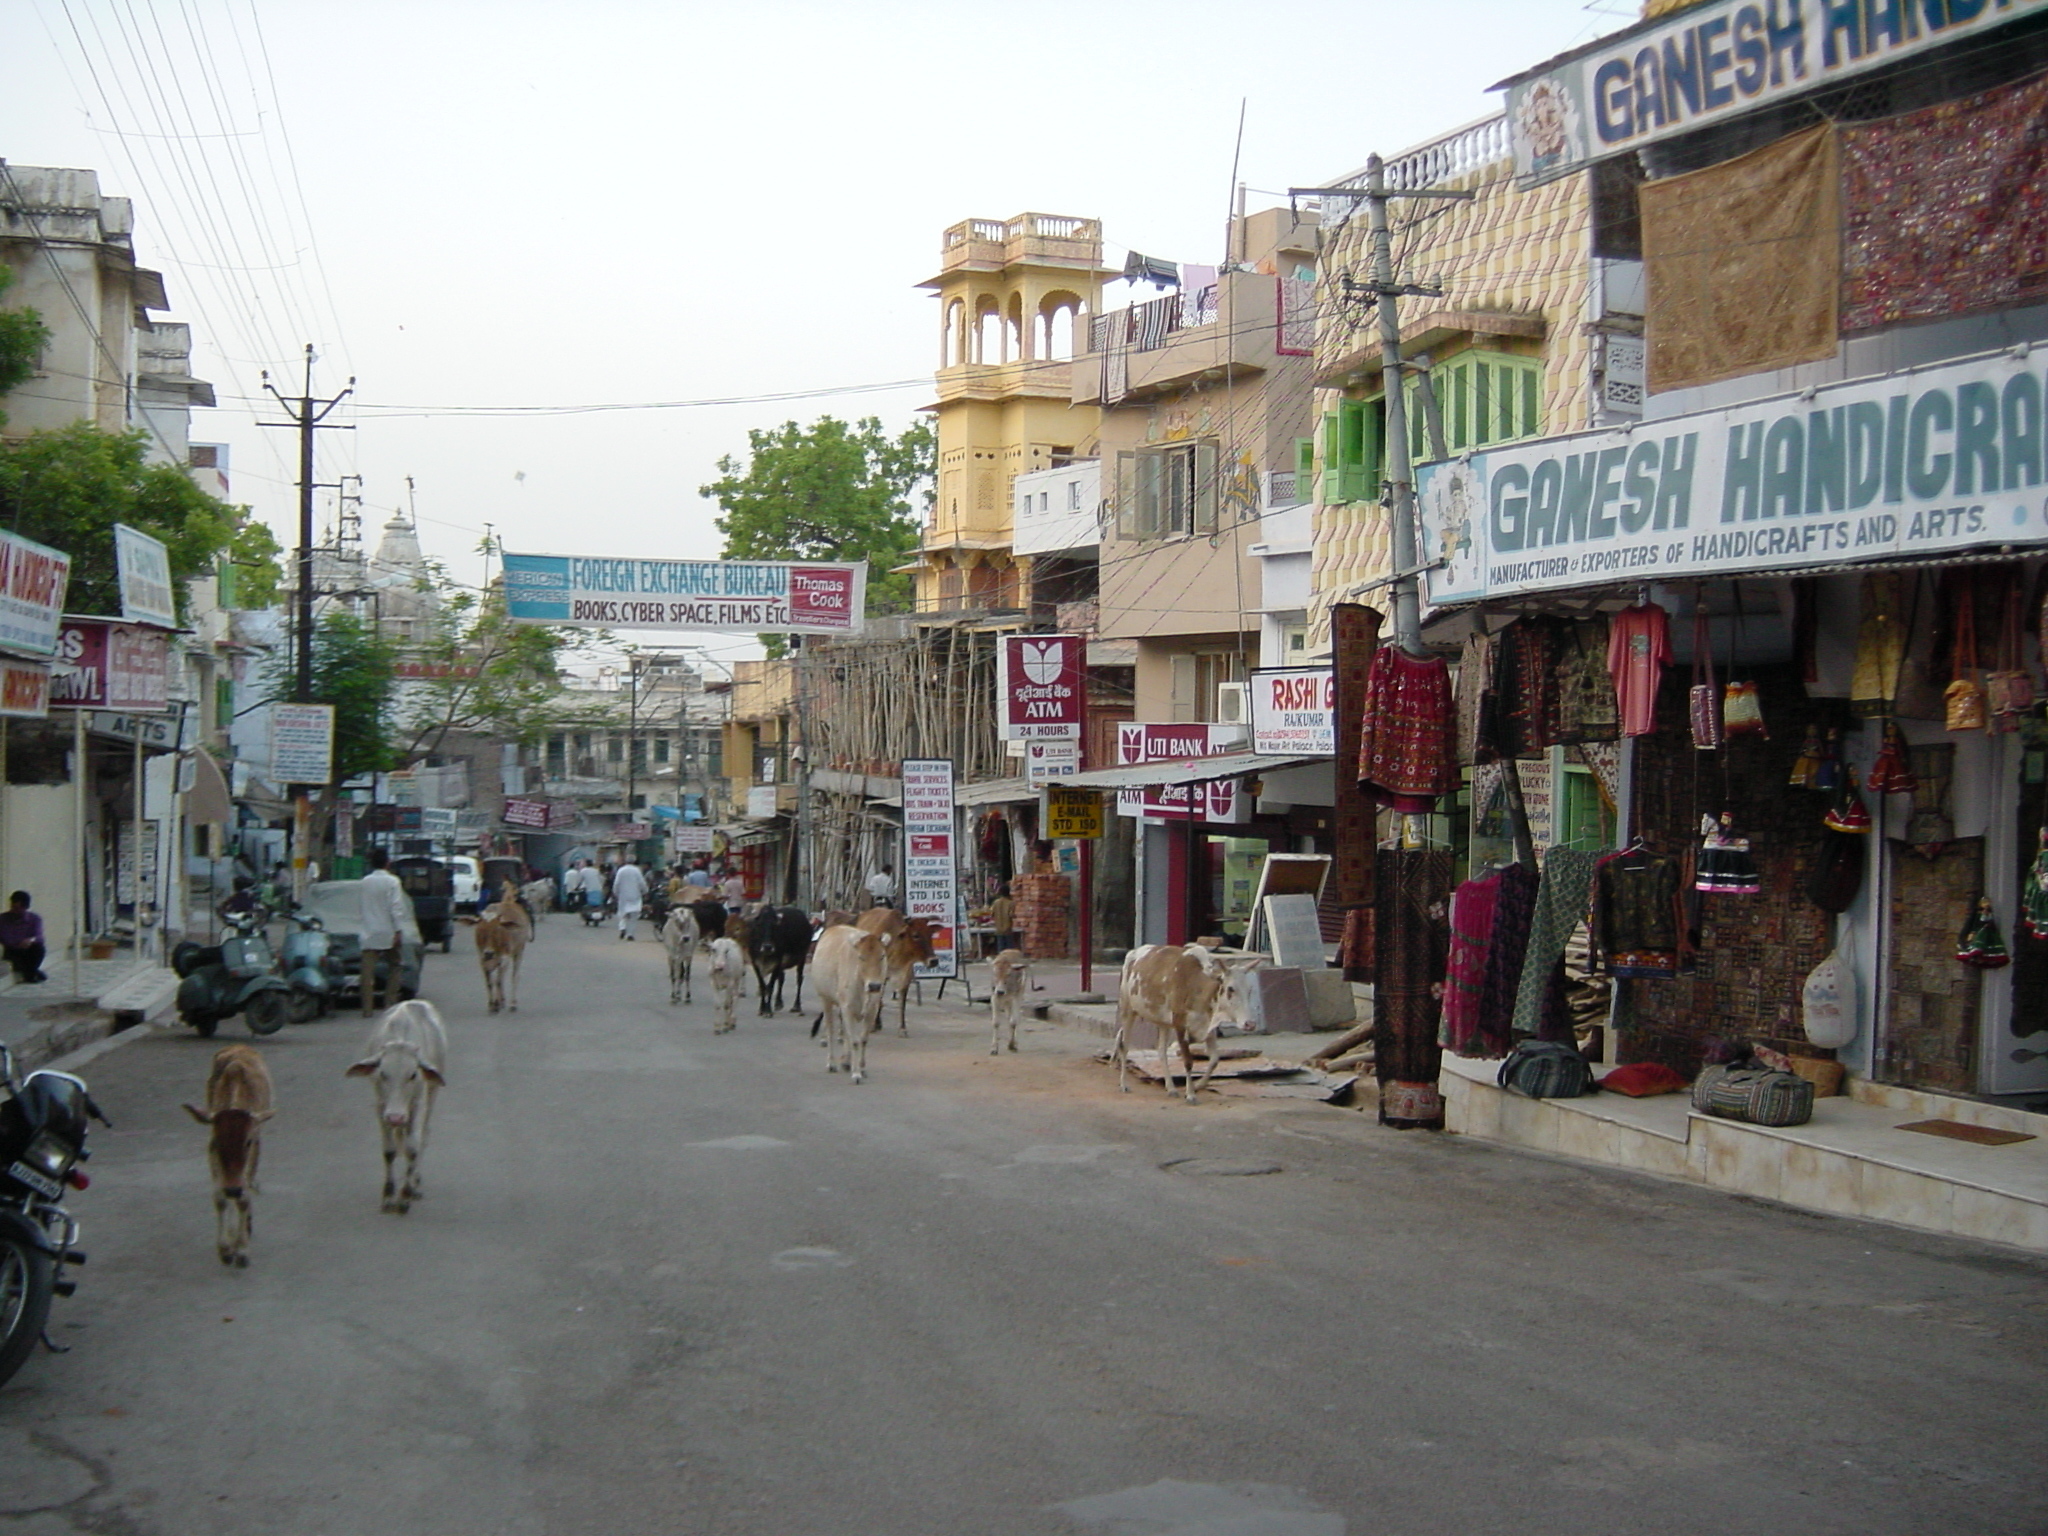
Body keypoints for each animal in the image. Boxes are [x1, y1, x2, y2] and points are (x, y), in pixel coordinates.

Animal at [182, 1048, 274, 1277]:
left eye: (248, 1141)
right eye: (216, 1141)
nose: (232, 1189)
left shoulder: (253, 1149)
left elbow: (244, 1200)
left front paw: (241, 1251)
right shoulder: (214, 1158)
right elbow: (220, 1199)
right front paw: (225, 1250)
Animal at [344, 1003, 448, 1220]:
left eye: (413, 1074)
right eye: (383, 1073)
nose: (395, 1117)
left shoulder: (416, 1104)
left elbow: (412, 1148)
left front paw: (405, 1197)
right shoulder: (381, 1106)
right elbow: (389, 1151)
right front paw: (389, 1196)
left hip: (431, 1093)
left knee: (423, 1135)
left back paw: (415, 1181)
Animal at [473, 884, 532, 1015]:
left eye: (496, 929)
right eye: (481, 930)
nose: (488, 952)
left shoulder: (509, 955)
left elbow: (499, 979)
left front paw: (499, 1003)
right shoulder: (484, 958)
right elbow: (492, 981)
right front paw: (494, 1004)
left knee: (501, 978)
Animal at [806, 921, 888, 1089]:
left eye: (882, 956)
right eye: (861, 957)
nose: (874, 986)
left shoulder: (872, 1009)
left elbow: (862, 1039)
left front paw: (861, 1068)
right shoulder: (847, 1007)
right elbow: (855, 1041)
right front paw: (856, 1074)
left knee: (845, 1033)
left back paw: (846, 1061)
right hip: (826, 999)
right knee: (831, 1030)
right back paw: (832, 1063)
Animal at [1114, 950, 1253, 1105]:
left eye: (1250, 990)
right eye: (1231, 988)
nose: (1250, 1024)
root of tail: (1133, 953)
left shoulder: (1209, 1029)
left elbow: (1214, 1060)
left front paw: (1198, 1085)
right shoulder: (1180, 1025)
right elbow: (1188, 1061)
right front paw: (1191, 1094)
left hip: (1163, 1022)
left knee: (1161, 1051)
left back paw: (1171, 1088)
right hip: (1127, 1010)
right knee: (1124, 1046)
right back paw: (1124, 1084)